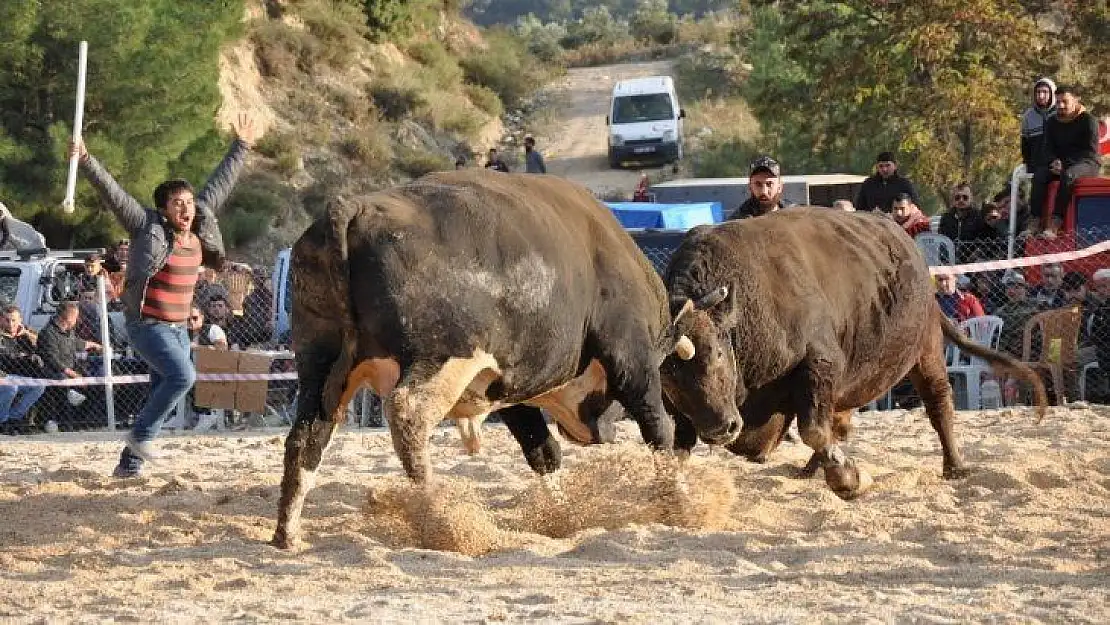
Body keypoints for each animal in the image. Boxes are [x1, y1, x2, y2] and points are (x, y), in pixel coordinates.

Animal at [657, 207, 1047, 501]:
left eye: (718, 355)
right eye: (670, 379)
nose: (722, 427)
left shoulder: (820, 363)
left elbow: (814, 429)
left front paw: (848, 478)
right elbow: (677, 448)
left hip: (926, 350)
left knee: (938, 404)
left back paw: (954, 466)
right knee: (839, 422)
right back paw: (810, 469)